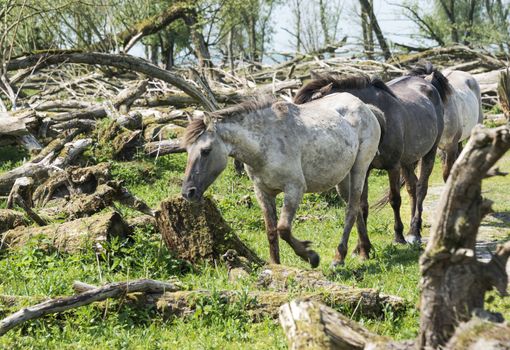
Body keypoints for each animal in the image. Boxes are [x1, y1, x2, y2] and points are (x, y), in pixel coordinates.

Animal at [181, 94, 380, 266]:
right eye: (187, 150)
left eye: (206, 150)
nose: (188, 192)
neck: (264, 145)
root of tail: (365, 107)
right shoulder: (263, 192)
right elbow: (271, 231)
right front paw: (276, 267)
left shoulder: (295, 188)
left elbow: (283, 228)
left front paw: (311, 256)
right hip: (343, 179)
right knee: (357, 210)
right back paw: (364, 251)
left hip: (359, 169)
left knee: (351, 210)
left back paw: (339, 257)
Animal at [292, 72, 448, 252]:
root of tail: (426, 80)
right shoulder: (364, 170)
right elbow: (362, 205)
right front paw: (360, 247)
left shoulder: (393, 166)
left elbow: (394, 200)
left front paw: (398, 236)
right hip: (408, 161)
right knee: (412, 188)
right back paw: (412, 230)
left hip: (429, 152)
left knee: (422, 188)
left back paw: (414, 231)